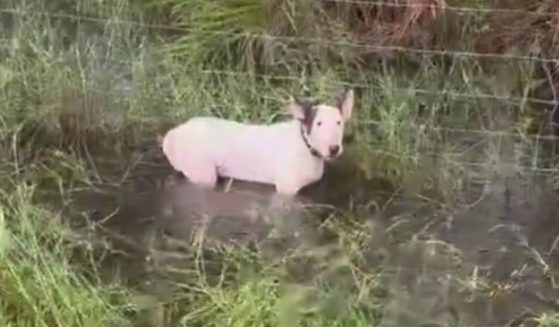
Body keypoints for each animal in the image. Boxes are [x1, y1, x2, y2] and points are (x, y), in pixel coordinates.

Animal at [162, 86, 354, 197]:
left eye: (339, 122)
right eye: (318, 123)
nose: (334, 148)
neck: (305, 146)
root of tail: (173, 134)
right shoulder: (286, 190)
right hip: (203, 174)